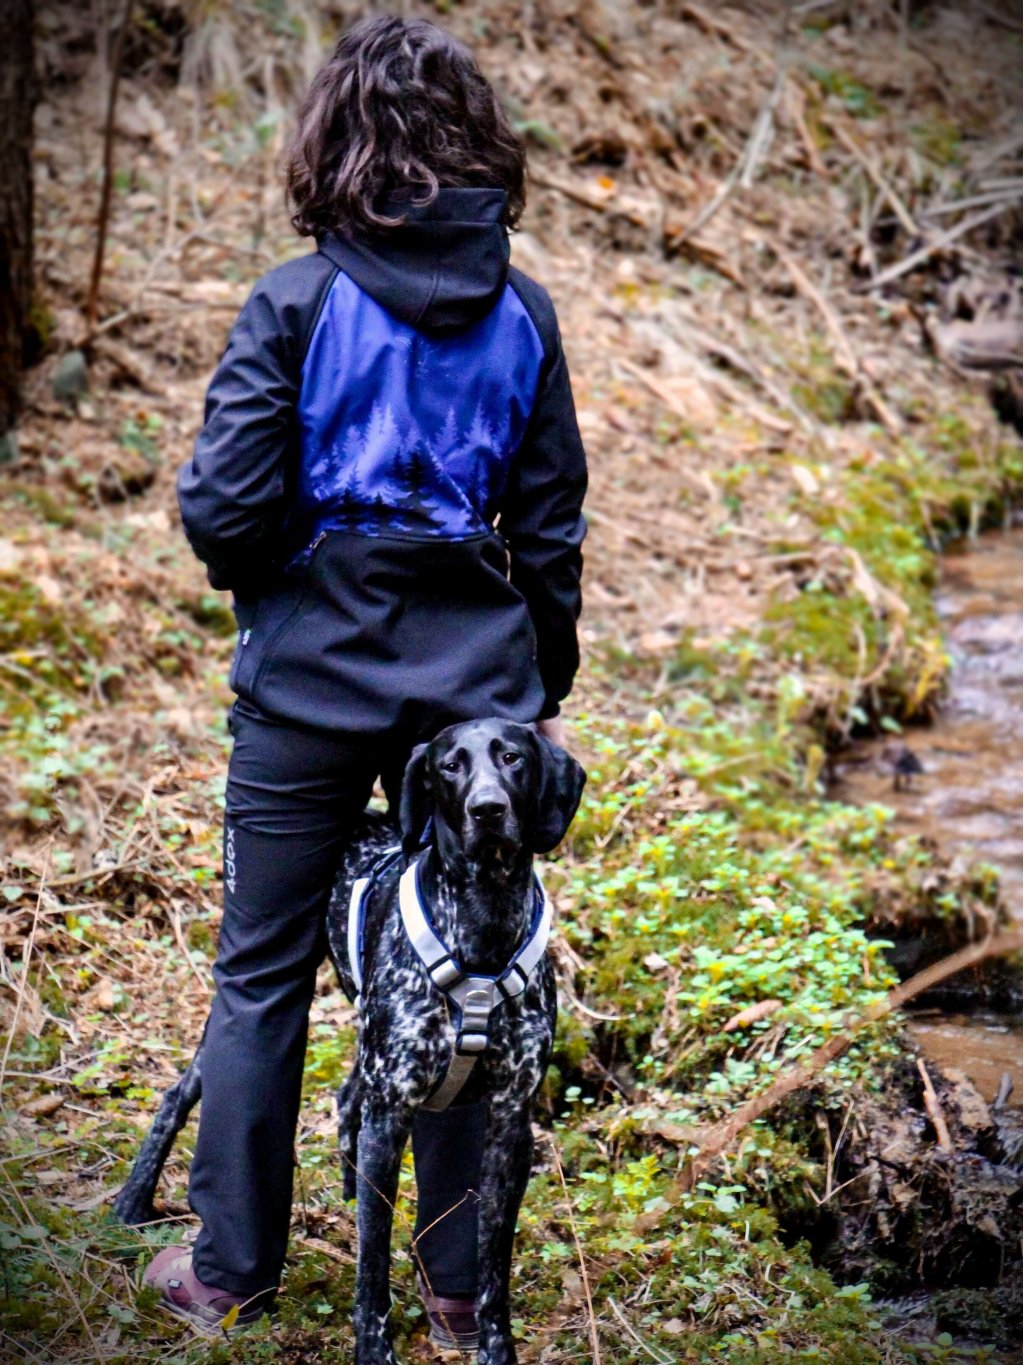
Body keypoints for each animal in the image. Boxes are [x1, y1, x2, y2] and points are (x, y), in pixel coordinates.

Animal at [114, 715, 584, 1365]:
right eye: (450, 765)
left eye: (511, 757)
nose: (487, 809)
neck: (482, 923)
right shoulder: (391, 1119)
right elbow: (372, 1261)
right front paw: (372, 1349)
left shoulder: (509, 1127)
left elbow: (492, 1269)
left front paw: (495, 1350)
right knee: (177, 1096)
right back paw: (132, 1204)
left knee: (344, 1100)